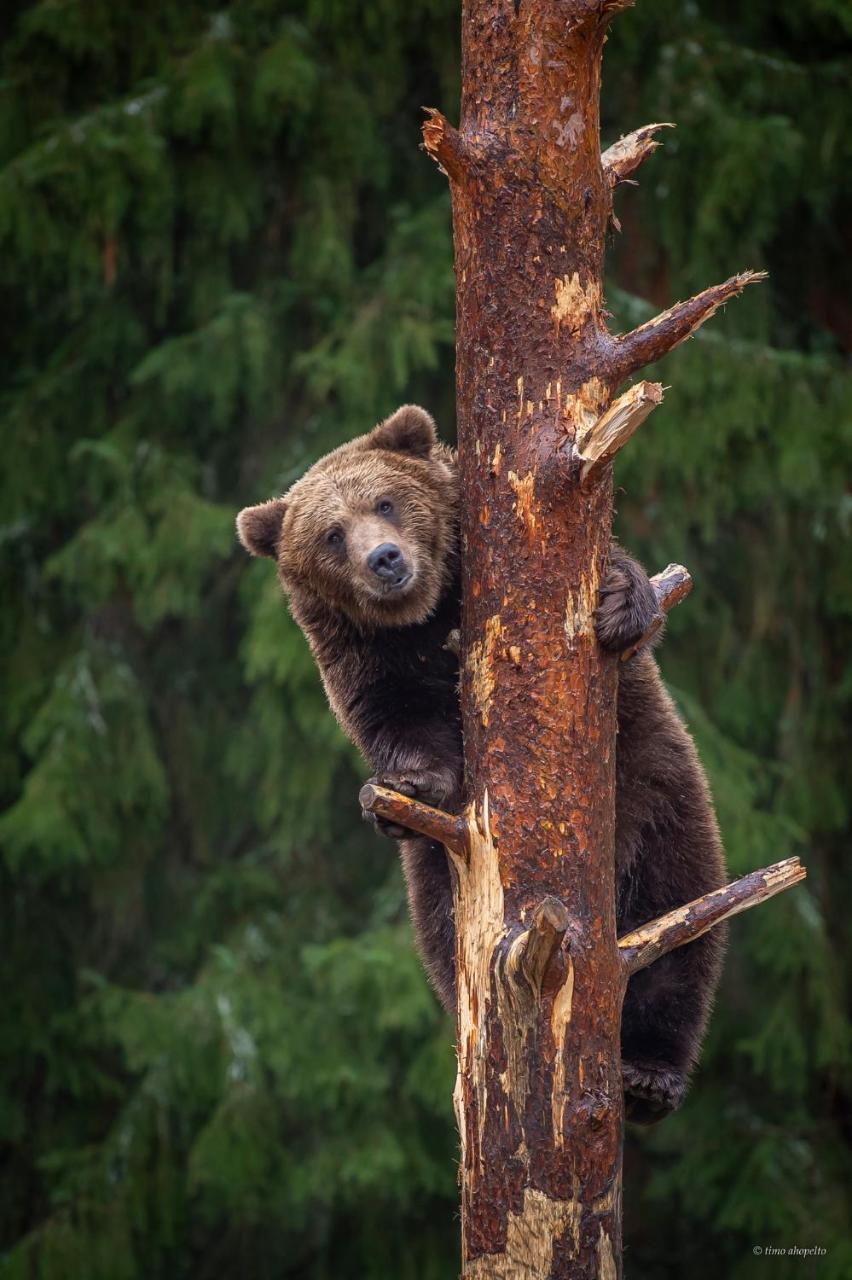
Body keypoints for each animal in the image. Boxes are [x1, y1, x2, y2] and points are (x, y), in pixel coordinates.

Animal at [236, 401, 721, 1121]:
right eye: (331, 534)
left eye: (386, 501)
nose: (384, 558)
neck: (428, 613)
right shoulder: (364, 654)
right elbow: (394, 718)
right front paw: (410, 783)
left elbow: (625, 595)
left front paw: (618, 601)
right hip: (439, 871)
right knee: (444, 939)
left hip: (658, 787)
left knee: (680, 921)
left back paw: (649, 1073)